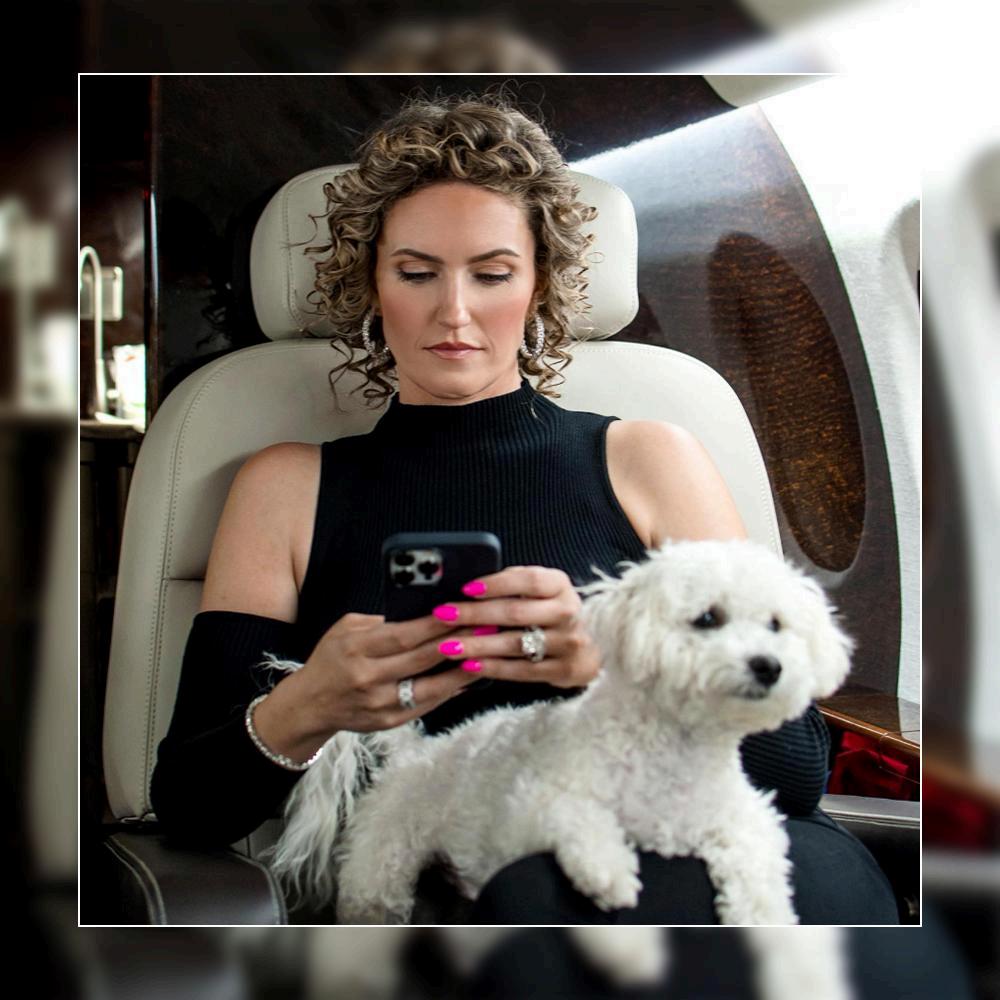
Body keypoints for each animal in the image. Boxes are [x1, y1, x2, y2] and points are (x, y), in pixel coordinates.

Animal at [264, 539, 852, 928]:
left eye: (776, 625)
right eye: (708, 618)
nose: (768, 666)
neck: (674, 753)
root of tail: (417, 752)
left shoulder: (745, 817)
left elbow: (761, 856)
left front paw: (764, 914)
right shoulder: (531, 806)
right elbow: (576, 815)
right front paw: (609, 869)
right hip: (379, 874)